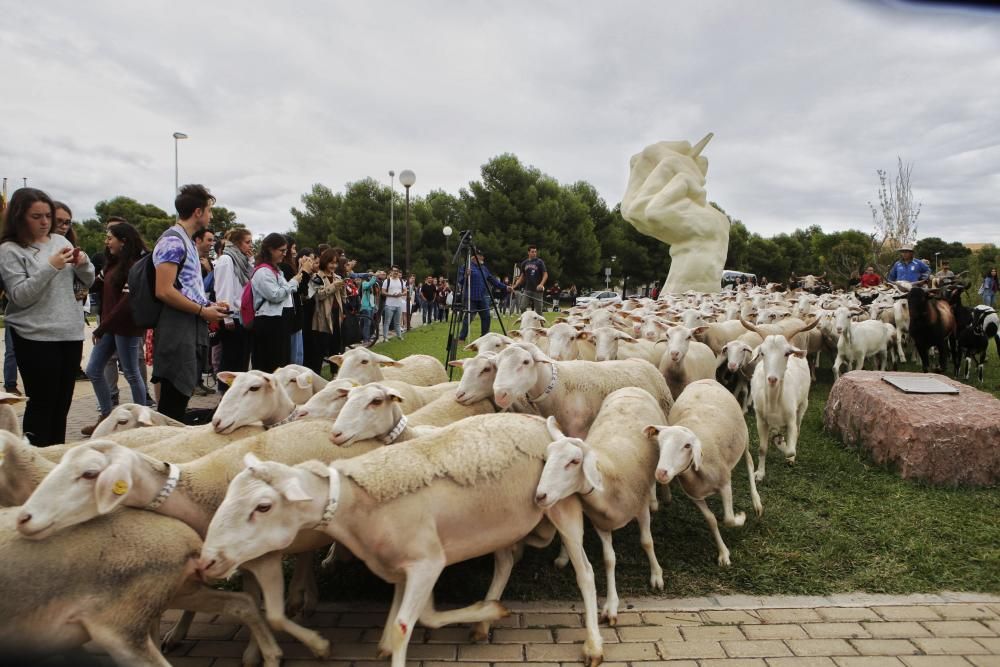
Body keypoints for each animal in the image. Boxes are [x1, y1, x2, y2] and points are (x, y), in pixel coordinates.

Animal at [194, 412, 600, 667]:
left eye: (262, 507)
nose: (206, 561)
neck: (357, 502)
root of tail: (540, 422)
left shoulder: (427, 562)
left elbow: (409, 625)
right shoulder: (405, 567)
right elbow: (418, 619)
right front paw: (487, 612)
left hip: (560, 505)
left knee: (585, 572)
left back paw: (593, 645)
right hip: (501, 524)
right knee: (504, 563)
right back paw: (485, 620)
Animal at [492, 344, 672, 438]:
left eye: (526, 361)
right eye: (497, 364)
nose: (500, 395)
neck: (558, 386)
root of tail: (646, 364)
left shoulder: (579, 431)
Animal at [536, 388, 668, 624]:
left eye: (574, 461)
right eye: (545, 458)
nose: (540, 495)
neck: (608, 473)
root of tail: (630, 388)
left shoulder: (640, 508)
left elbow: (647, 542)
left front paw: (656, 575)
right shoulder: (601, 522)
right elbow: (609, 560)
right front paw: (611, 605)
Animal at [644, 378, 760, 568]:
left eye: (687, 446)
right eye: (659, 443)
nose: (661, 473)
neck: (696, 471)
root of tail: (706, 379)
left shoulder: (725, 482)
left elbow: (728, 519)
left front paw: (741, 518)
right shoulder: (695, 496)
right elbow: (711, 520)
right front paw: (723, 553)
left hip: (745, 438)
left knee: (749, 462)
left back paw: (757, 502)